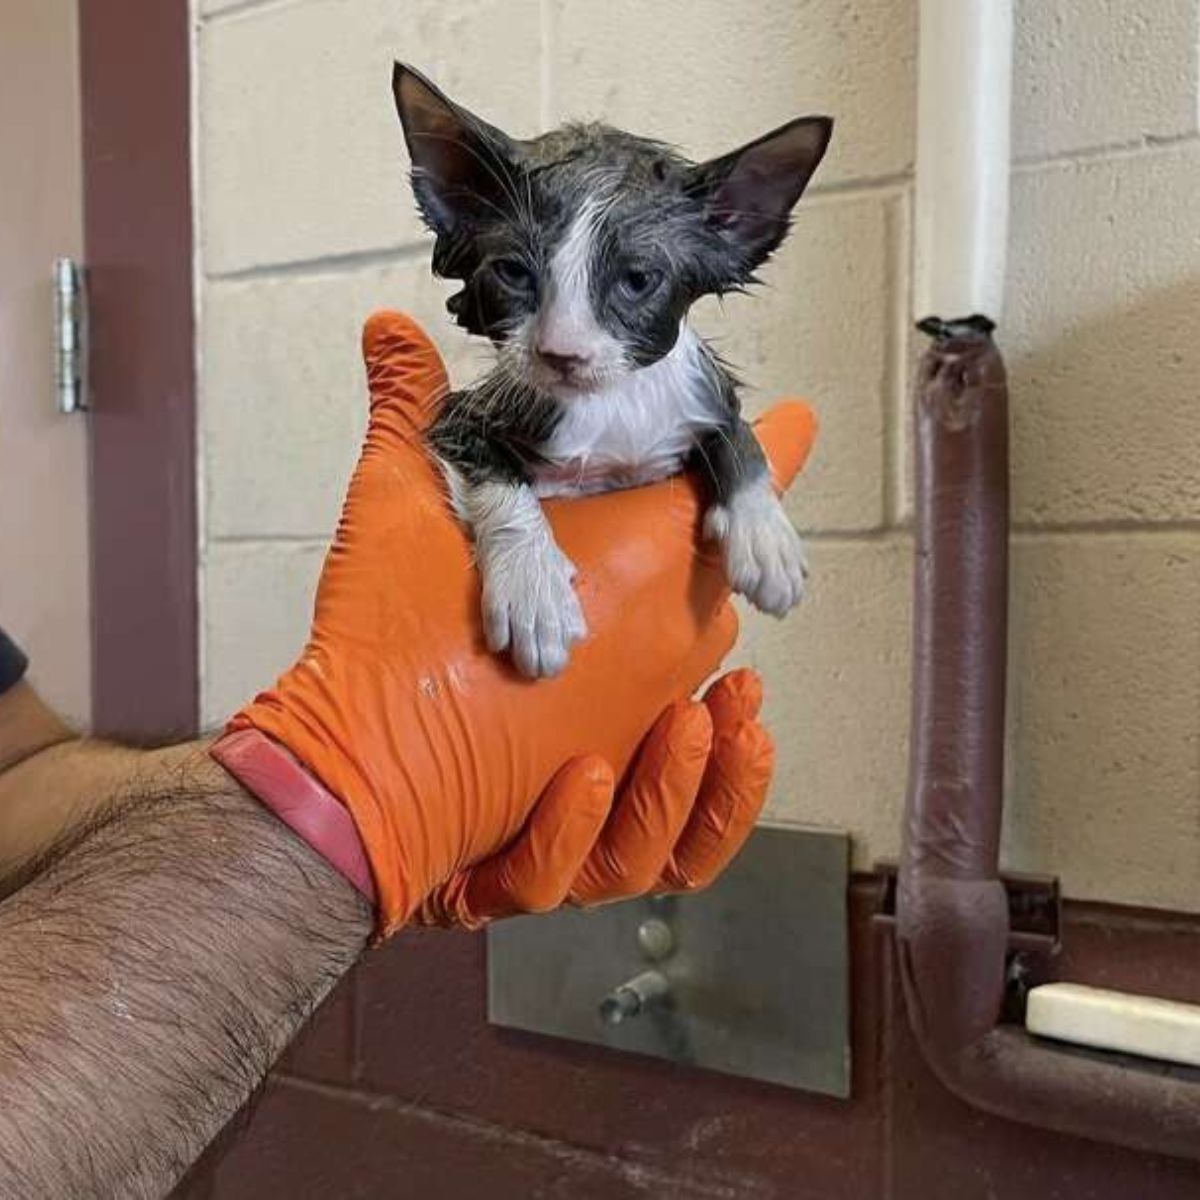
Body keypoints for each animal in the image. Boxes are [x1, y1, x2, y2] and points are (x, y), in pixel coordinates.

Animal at [393, 65, 835, 681]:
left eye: (637, 280)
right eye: (513, 273)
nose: (562, 353)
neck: (611, 406)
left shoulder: (701, 395)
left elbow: (735, 430)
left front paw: (764, 530)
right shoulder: (462, 415)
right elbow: (494, 469)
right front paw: (533, 587)